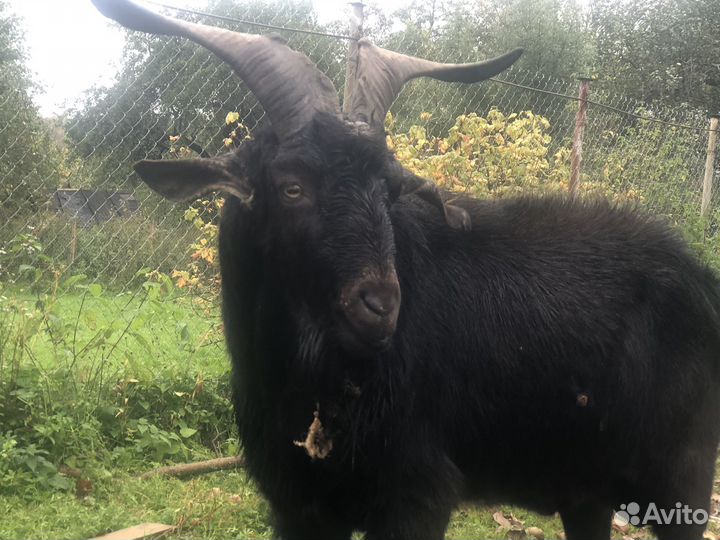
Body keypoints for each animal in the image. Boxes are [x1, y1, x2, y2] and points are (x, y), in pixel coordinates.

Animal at [92, 2, 720, 539]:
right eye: (292, 187)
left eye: (388, 190)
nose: (380, 307)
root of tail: (700, 277)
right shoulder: (297, 505)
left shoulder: (417, 494)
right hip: (586, 487)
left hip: (683, 476)